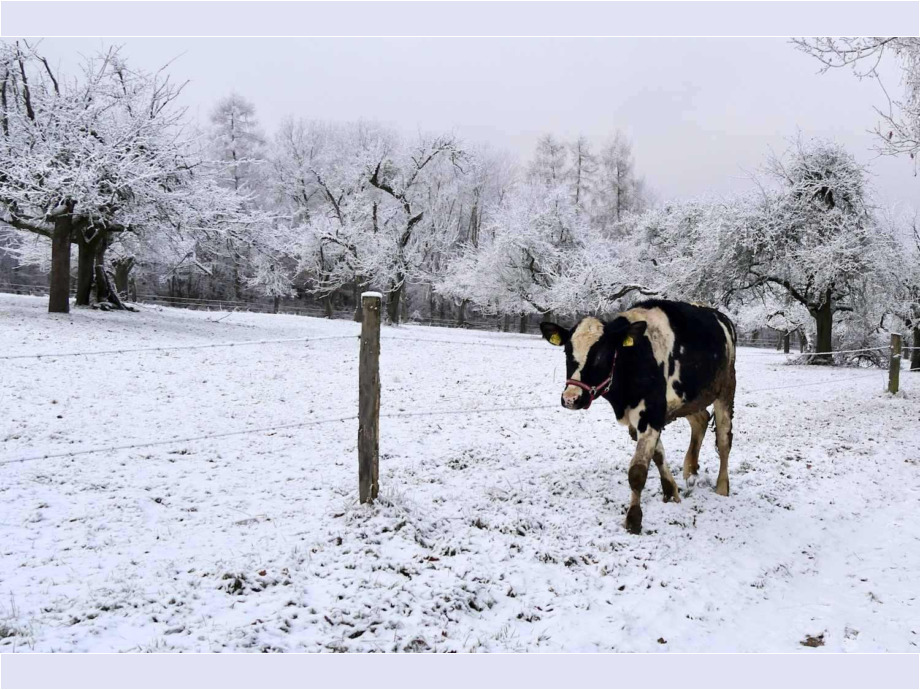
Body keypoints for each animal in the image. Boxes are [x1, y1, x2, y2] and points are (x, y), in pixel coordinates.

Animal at [540, 299, 737, 534]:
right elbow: (657, 455)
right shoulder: (642, 418)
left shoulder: (651, 414)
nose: (571, 398)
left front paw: (634, 520)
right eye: (567, 352)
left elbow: (637, 472)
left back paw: (722, 487)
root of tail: (721, 317)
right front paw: (671, 492)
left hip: (725, 390)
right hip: (692, 397)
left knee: (724, 440)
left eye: (601, 355)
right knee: (701, 420)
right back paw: (690, 472)